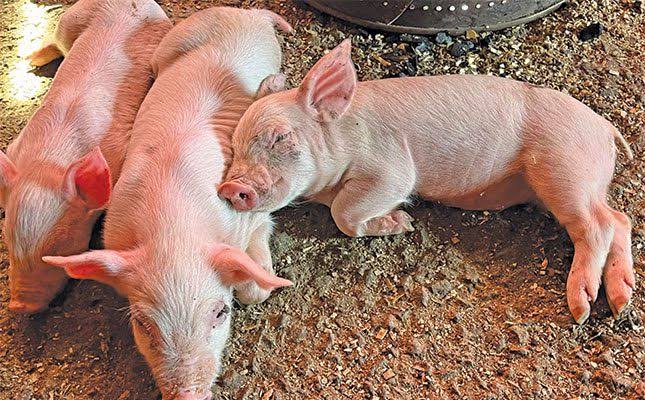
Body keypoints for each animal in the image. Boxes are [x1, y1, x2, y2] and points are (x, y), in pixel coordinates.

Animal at [0, 0, 172, 313]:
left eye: (57, 246)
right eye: (8, 238)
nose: (19, 305)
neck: (48, 161)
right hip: (71, 20)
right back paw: (30, 58)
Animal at [42, 7, 293, 400]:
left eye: (221, 313)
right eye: (143, 324)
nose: (188, 394)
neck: (172, 228)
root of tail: (243, 10)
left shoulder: (250, 214)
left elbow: (256, 286)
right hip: (170, 47)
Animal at [219, 39, 636, 325]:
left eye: (279, 137)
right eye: (235, 147)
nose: (229, 188)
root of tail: (604, 128)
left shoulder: (390, 169)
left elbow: (345, 212)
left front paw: (403, 221)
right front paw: (399, 221)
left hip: (564, 167)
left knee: (597, 225)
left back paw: (581, 308)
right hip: (573, 182)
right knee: (619, 219)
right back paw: (620, 301)